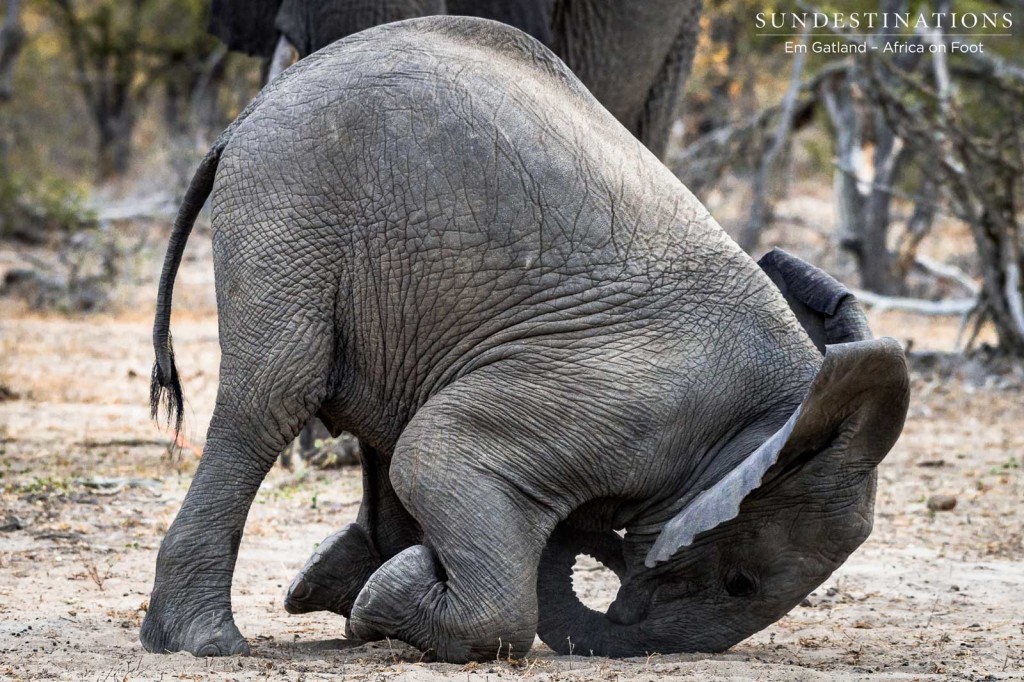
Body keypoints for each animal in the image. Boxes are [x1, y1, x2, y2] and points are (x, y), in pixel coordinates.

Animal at [140, 15, 909, 659]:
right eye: (739, 582)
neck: (781, 406)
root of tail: (247, 116)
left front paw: (365, 598)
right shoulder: (622, 401)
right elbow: (436, 454)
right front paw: (390, 595)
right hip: (292, 206)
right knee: (276, 393)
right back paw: (208, 645)